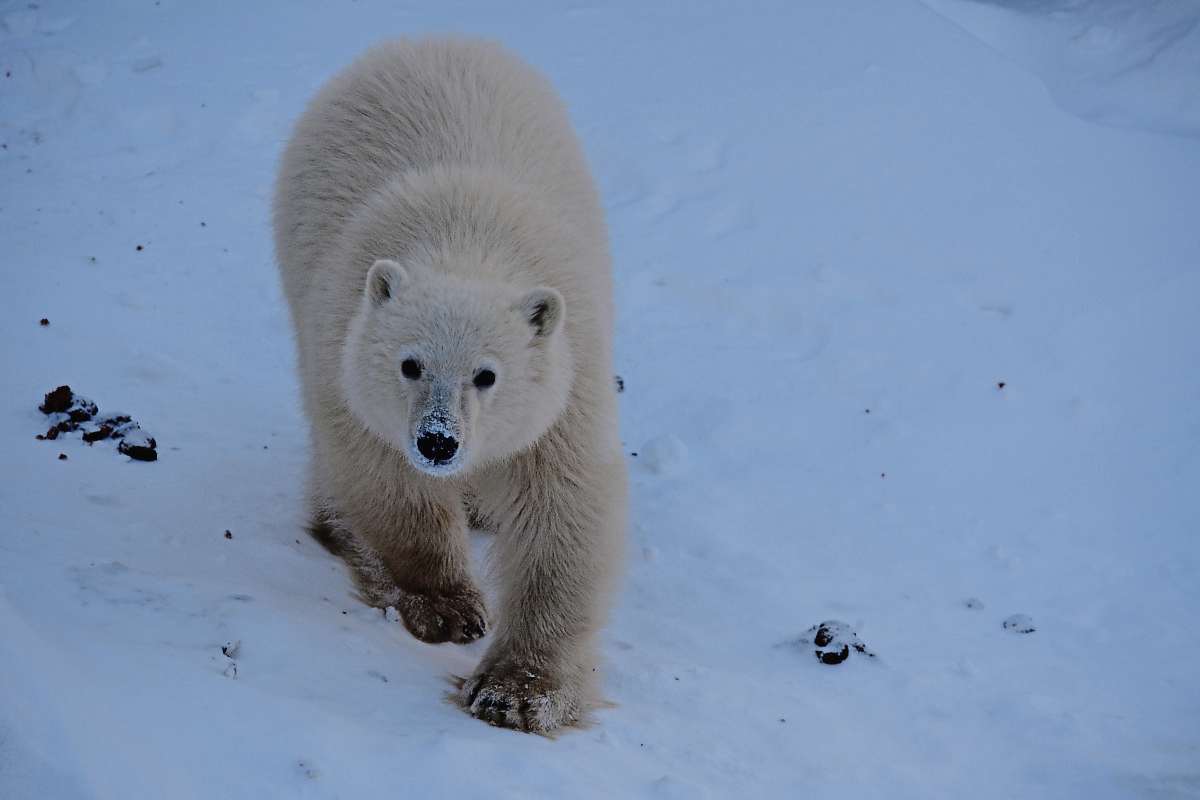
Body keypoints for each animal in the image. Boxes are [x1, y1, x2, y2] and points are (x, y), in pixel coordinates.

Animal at [272, 38, 626, 734]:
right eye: (410, 364)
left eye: (487, 375)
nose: (438, 442)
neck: (466, 236)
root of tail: (424, 41)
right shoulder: (344, 354)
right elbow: (385, 480)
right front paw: (447, 606)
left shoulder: (567, 384)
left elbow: (561, 510)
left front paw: (517, 692)